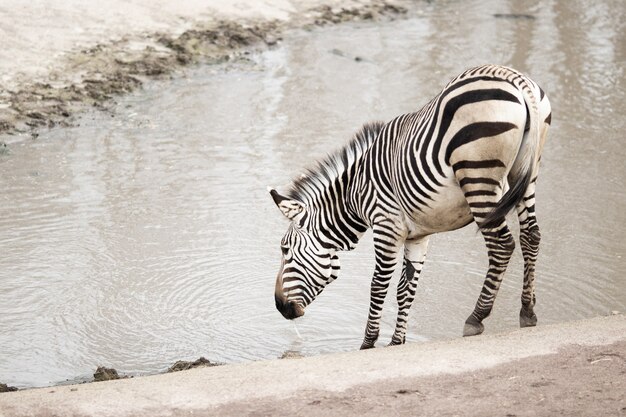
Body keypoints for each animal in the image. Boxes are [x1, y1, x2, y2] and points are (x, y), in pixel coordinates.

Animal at [266, 62, 548, 348]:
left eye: (285, 249)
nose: (279, 307)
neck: (354, 193)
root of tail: (513, 77)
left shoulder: (386, 225)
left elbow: (379, 285)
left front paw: (368, 343)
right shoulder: (418, 235)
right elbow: (406, 288)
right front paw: (396, 342)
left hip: (478, 176)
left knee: (502, 244)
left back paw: (476, 317)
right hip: (527, 174)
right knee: (531, 235)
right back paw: (527, 311)